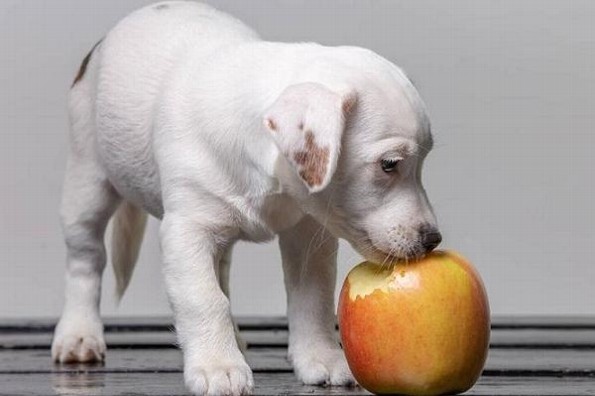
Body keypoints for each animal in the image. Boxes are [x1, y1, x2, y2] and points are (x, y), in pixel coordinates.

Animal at [52, 1, 442, 394]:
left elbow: (312, 298)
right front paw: (217, 365)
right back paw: (79, 336)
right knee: (85, 260)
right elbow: (203, 298)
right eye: (389, 164)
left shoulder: (307, 235)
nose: (433, 239)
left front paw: (321, 357)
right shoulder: (186, 233)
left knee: (221, 270)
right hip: (87, 184)